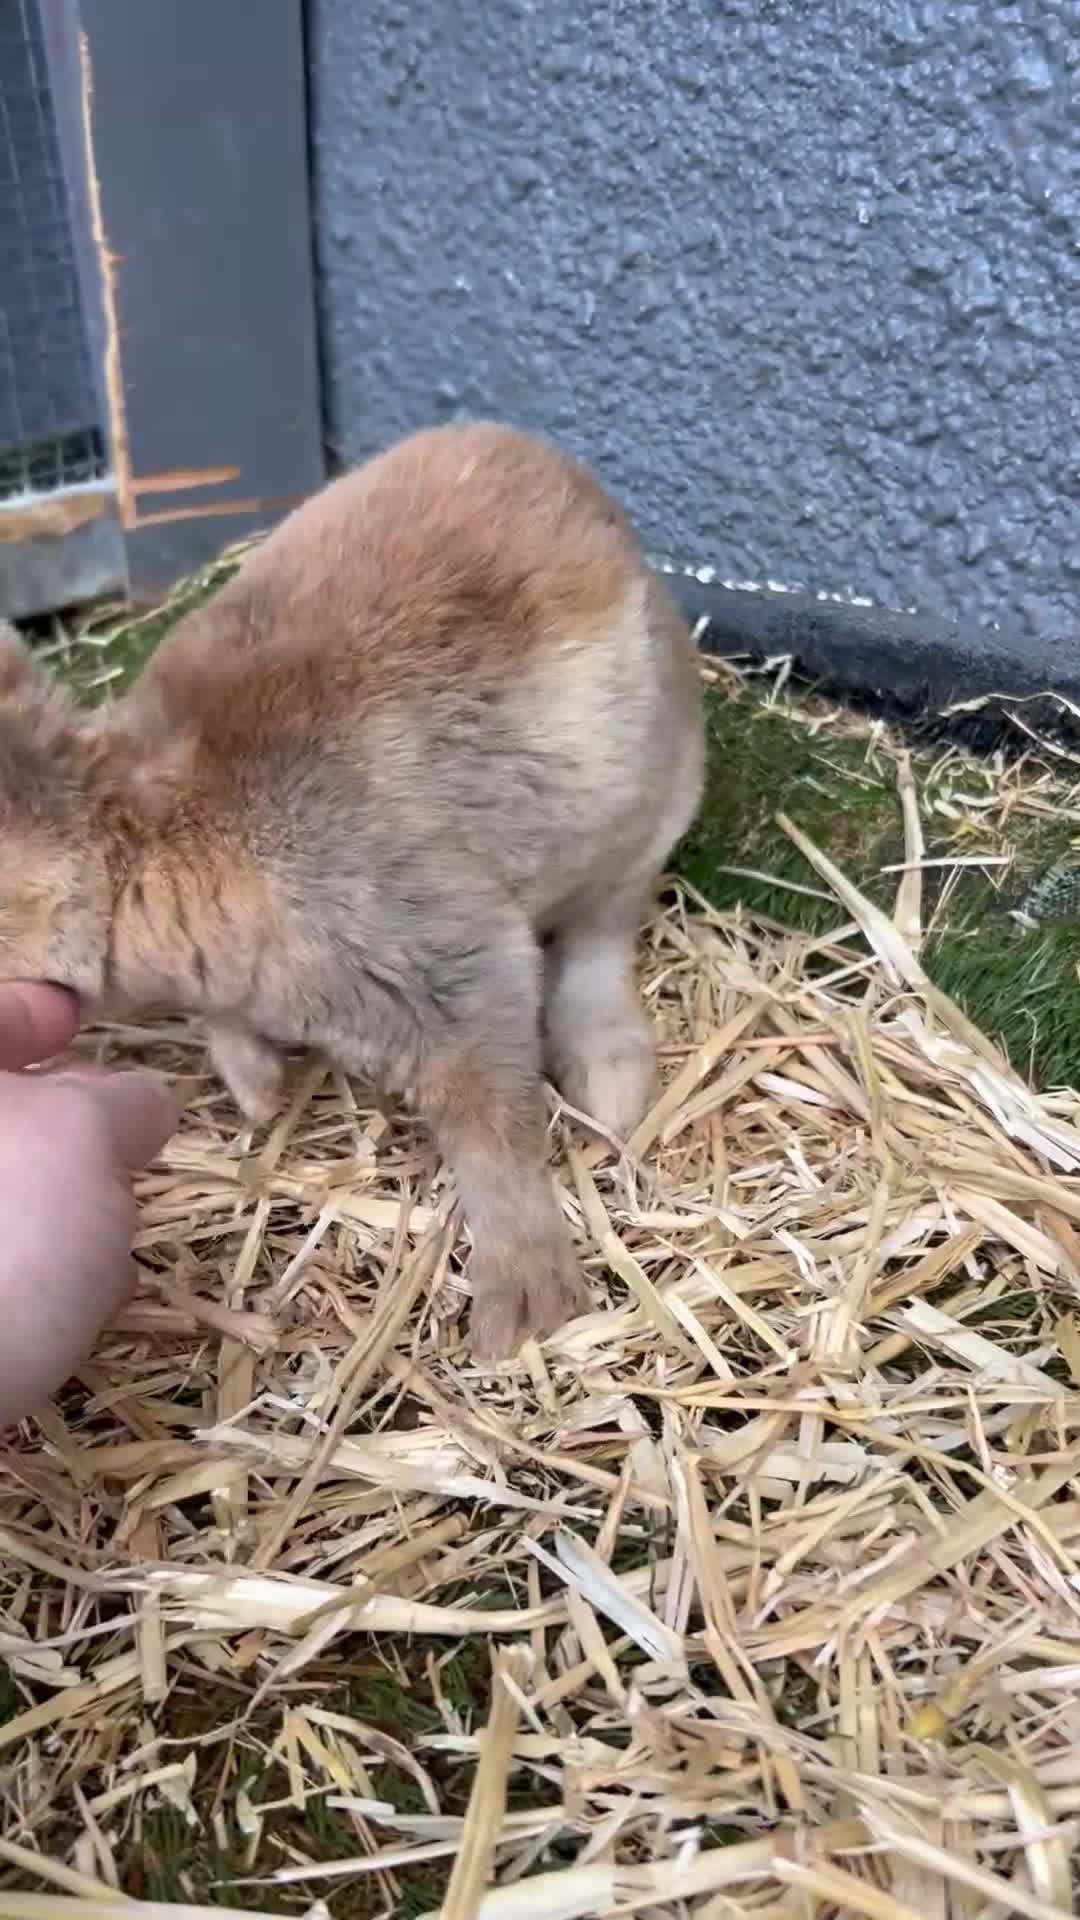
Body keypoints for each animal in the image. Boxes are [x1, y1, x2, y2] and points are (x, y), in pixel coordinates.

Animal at [0, 421, 704, 1357]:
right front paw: (261, 1094)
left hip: (644, 814)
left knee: (601, 937)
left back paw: (611, 1088)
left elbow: (491, 1129)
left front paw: (524, 1309)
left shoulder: (446, 957)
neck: (148, 847)